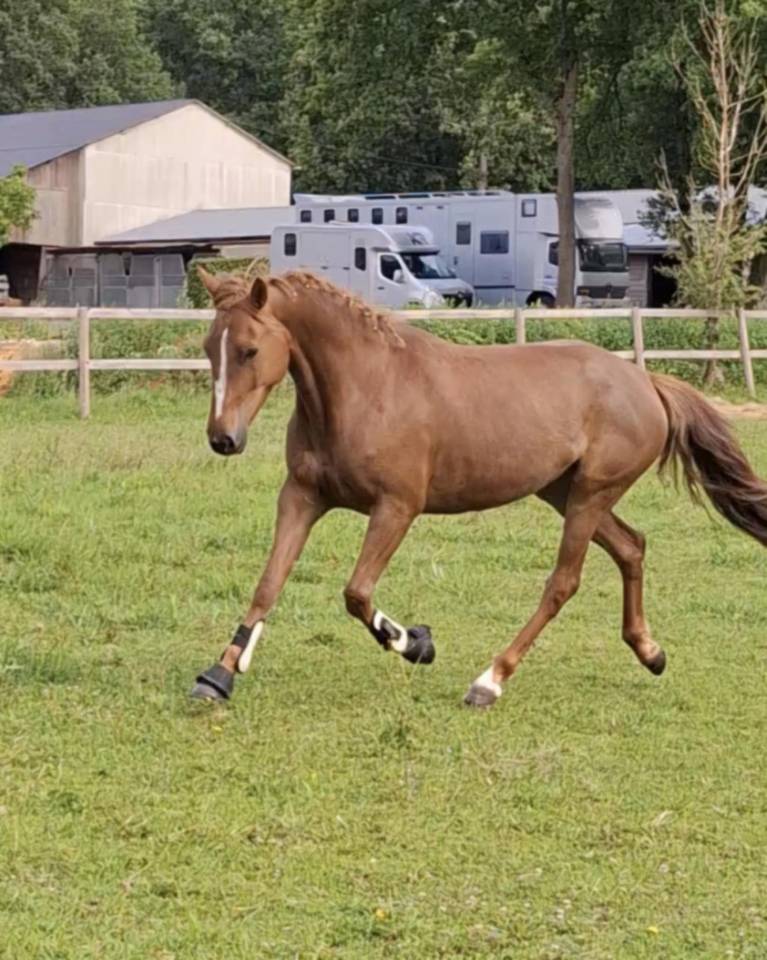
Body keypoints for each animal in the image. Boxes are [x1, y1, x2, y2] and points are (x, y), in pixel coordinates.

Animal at [190, 267, 767, 708]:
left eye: (249, 350)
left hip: (590, 495)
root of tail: (646, 383)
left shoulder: (396, 508)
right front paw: (219, 674)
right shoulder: (302, 497)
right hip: (565, 492)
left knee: (563, 582)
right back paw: (650, 652)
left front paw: (417, 643)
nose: (223, 439)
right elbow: (269, 583)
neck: (364, 389)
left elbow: (357, 594)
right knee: (631, 547)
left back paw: (490, 680)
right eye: (209, 347)